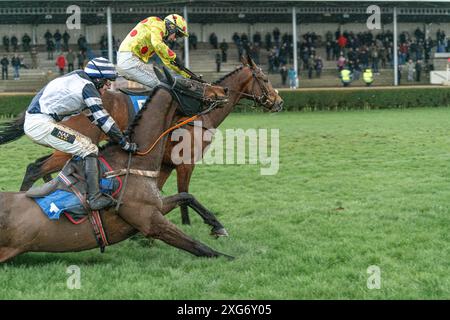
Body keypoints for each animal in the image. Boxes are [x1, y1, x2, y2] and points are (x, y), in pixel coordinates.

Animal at [0, 75, 232, 262]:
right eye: (190, 84)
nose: (222, 90)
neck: (132, 161)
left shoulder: (158, 204)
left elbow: (186, 196)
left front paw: (217, 226)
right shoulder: (150, 220)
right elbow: (201, 248)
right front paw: (230, 256)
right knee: (37, 167)